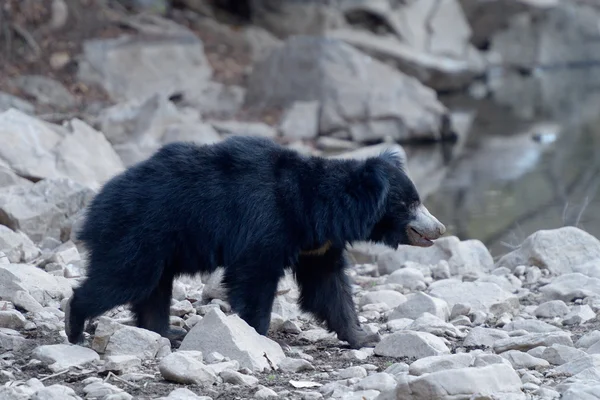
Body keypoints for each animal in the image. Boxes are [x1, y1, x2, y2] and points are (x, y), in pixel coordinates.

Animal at [67, 136, 446, 348]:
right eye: (409, 203)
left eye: (418, 200)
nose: (440, 228)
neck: (317, 209)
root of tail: (94, 207)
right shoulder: (266, 222)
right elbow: (254, 278)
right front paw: (256, 333)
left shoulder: (318, 245)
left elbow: (328, 287)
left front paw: (363, 337)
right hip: (138, 233)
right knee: (123, 280)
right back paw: (76, 328)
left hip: (157, 245)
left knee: (153, 290)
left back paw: (167, 333)